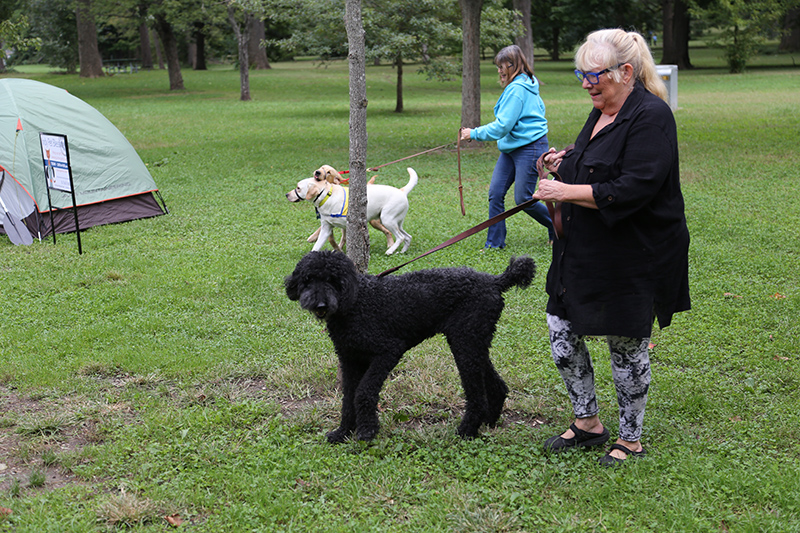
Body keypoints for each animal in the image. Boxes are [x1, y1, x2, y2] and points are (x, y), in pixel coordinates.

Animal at [286, 165, 416, 255]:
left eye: (298, 187)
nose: (287, 194)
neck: (327, 194)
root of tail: (402, 190)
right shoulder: (326, 228)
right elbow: (317, 246)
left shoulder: (349, 226)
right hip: (396, 222)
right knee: (408, 237)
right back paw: (402, 252)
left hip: (387, 219)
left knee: (401, 237)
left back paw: (390, 251)